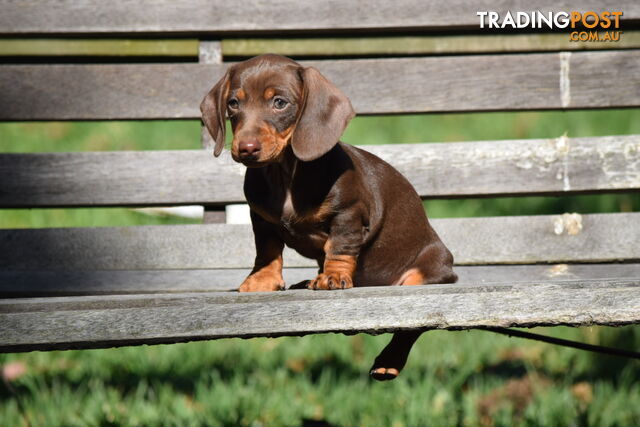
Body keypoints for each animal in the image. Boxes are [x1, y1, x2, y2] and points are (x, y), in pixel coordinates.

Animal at [200, 54, 456, 382]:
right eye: (233, 103)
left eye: (280, 102)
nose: (245, 149)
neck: (285, 173)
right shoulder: (261, 219)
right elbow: (267, 251)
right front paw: (262, 280)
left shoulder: (348, 214)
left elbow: (339, 248)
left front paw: (333, 277)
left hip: (423, 273)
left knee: (411, 327)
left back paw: (389, 359)